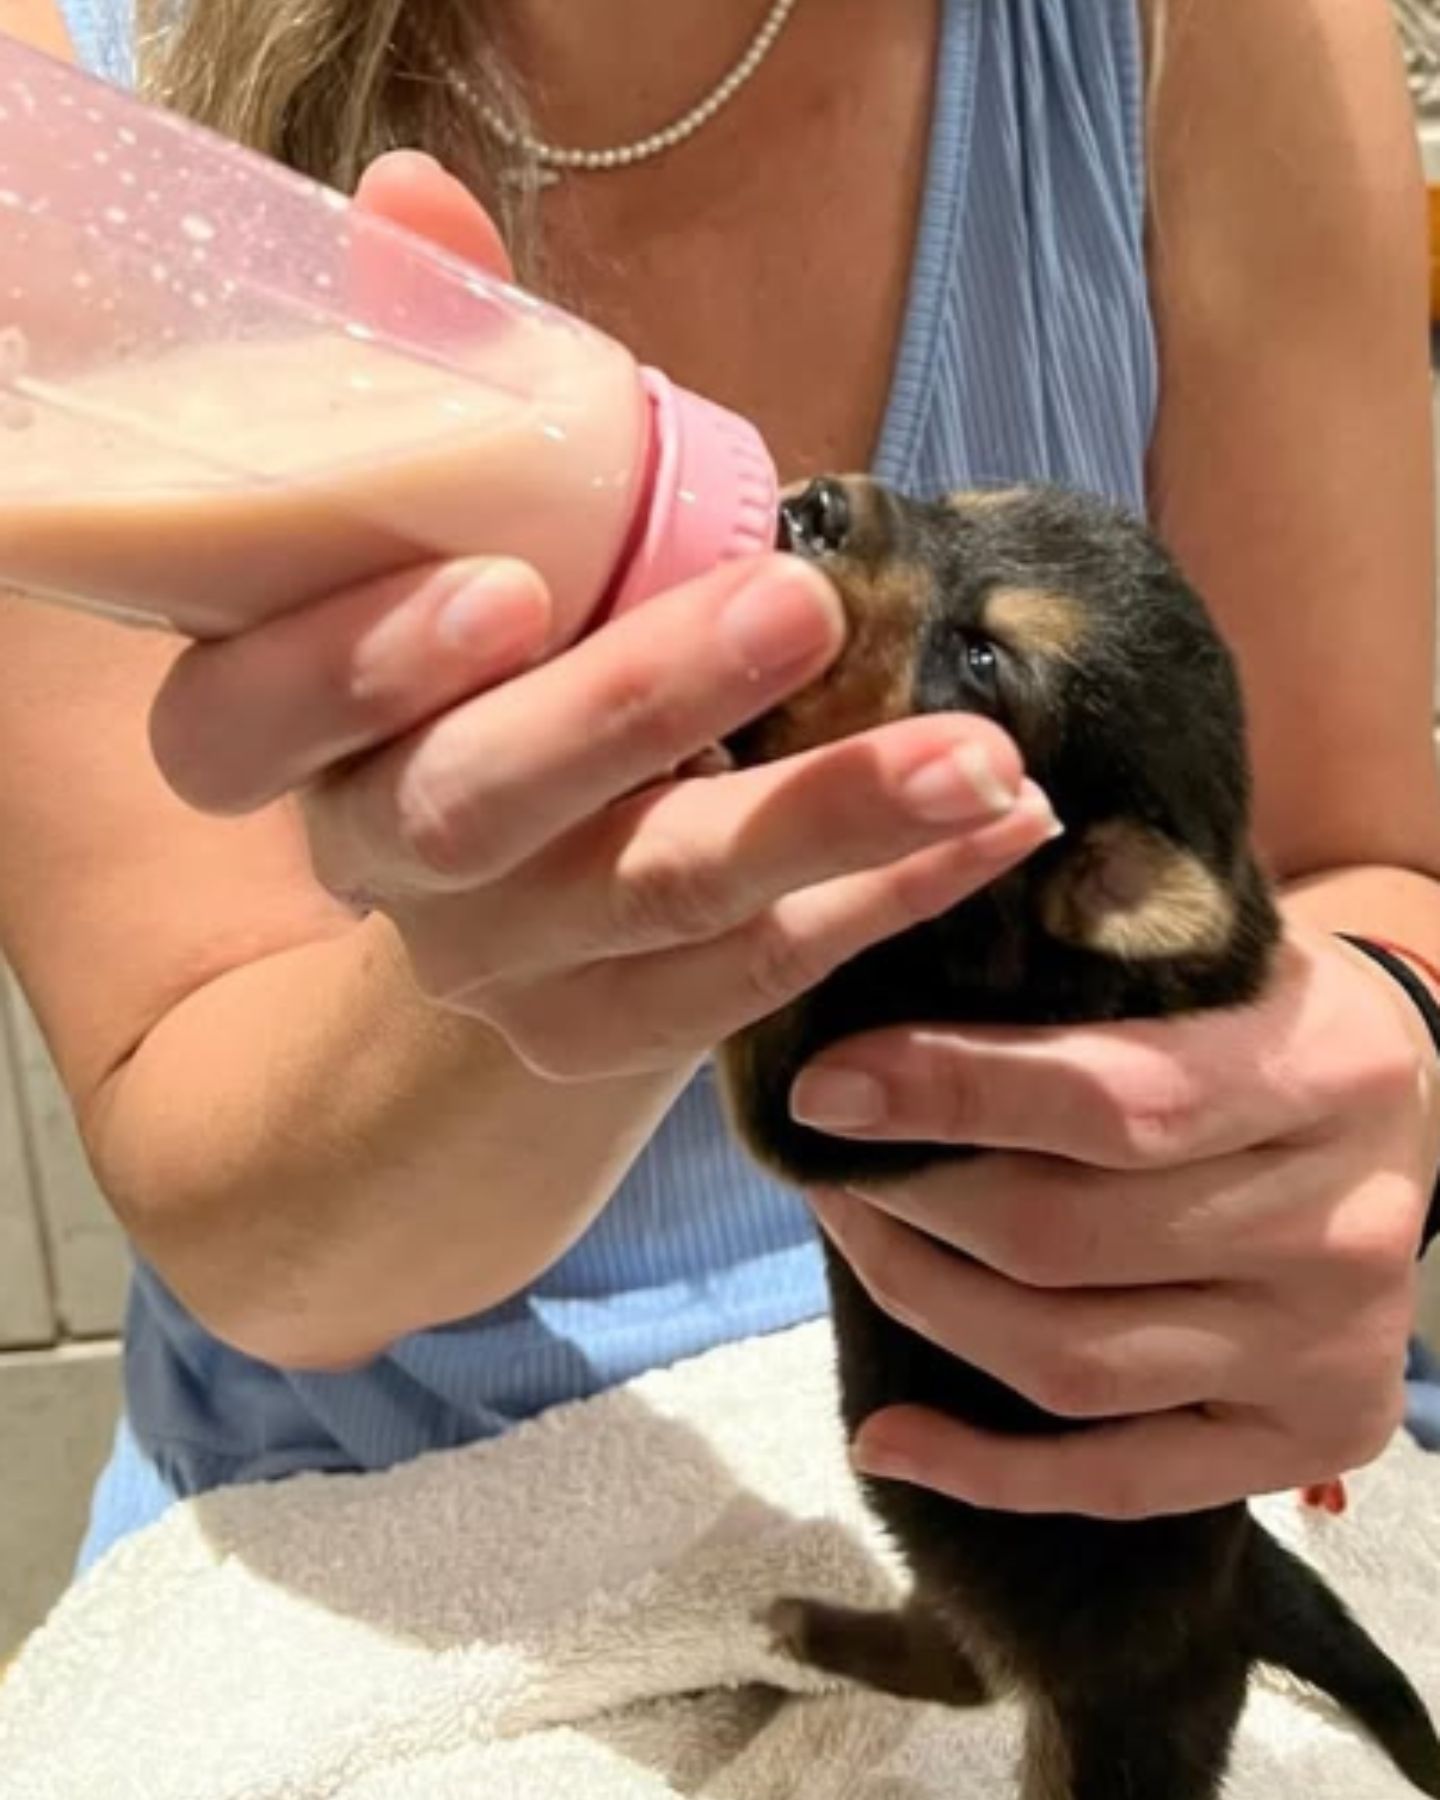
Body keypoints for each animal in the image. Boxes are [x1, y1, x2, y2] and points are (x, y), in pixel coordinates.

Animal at [720, 478, 1440, 1800]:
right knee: (958, 1662)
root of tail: (1247, 1594)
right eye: (957, 500)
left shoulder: (815, 1094)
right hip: (935, 1527)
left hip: (1117, 1720)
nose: (817, 503)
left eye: (985, 660)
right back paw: (812, 1626)